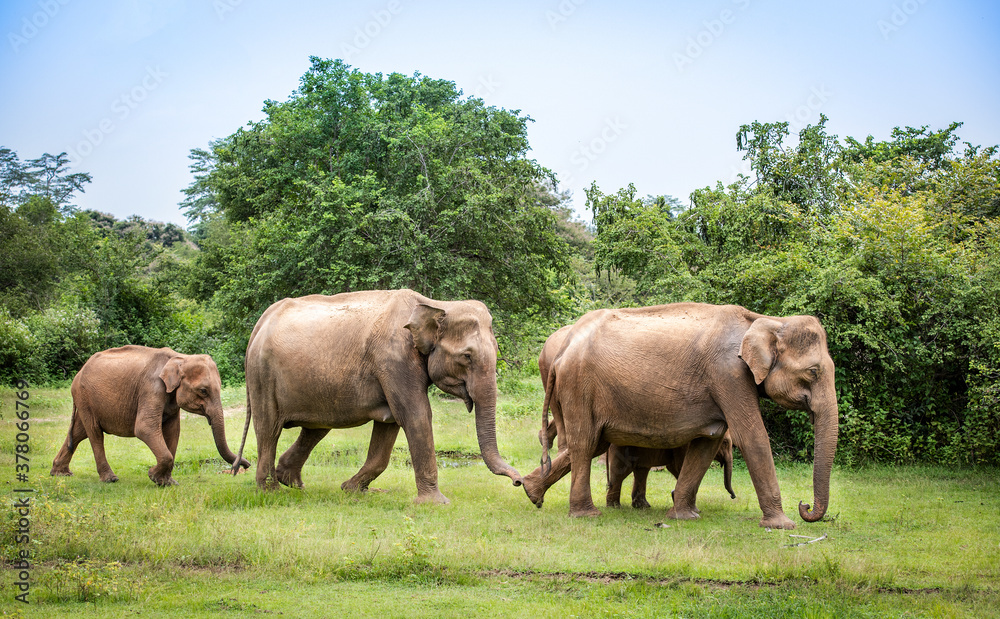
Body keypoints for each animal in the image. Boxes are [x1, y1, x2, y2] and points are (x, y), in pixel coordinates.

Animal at [50, 345, 250, 486]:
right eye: (203, 391)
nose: (243, 467)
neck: (180, 357)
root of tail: (78, 373)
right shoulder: (151, 387)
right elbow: (145, 428)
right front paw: (153, 476)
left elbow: (173, 431)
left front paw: (167, 482)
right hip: (84, 396)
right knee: (94, 433)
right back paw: (110, 479)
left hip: (86, 399)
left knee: (79, 432)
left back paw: (60, 473)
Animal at [238, 289, 522, 503]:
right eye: (467, 356)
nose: (519, 481)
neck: (436, 304)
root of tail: (262, 321)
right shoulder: (394, 359)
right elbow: (415, 415)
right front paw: (436, 503)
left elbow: (390, 423)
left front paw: (352, 490)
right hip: (262, 376)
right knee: (269, 429)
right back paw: (271, 491)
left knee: (316, 427)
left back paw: (292, 482)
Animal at [605, 432, 735, 509]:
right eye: (725, 443)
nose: (732, 496)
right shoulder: (683, 446)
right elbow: (678, 466)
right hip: (622, 449)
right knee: (620, 473)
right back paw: (615, 507)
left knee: (641, 471)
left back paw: (642, 506)